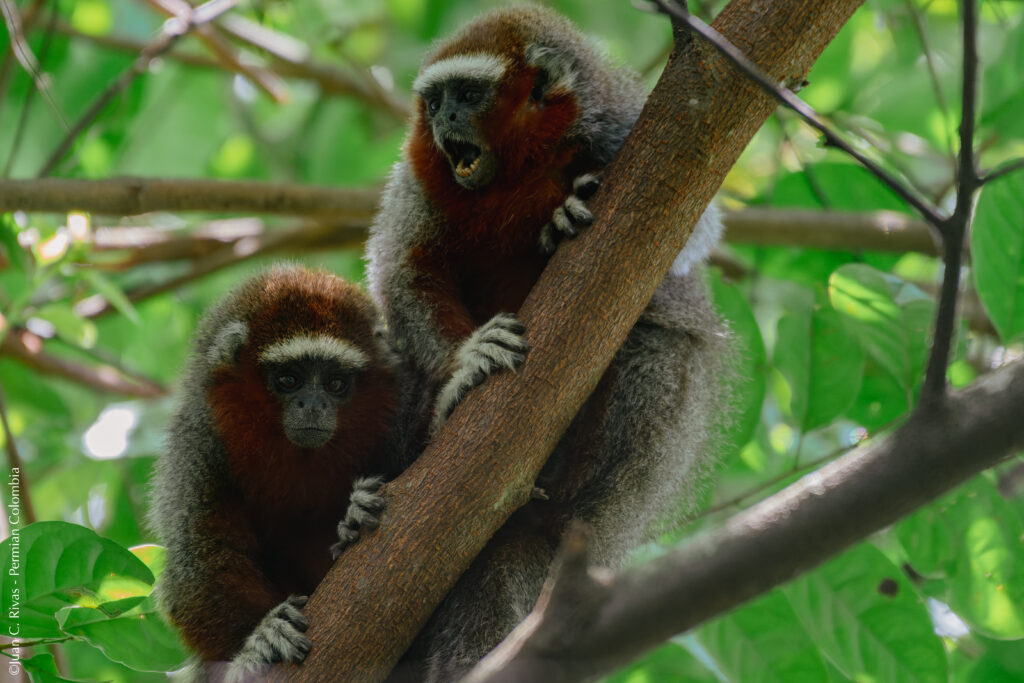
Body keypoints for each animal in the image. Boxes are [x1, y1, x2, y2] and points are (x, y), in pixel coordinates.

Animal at [149, 265, 415, 682]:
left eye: (335, 383)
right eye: (289, 379)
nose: (313, 405)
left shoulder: (395, 408)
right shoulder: (199, 441)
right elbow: (196, 566)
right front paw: (261, 638)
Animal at [365, 6, 732, 681]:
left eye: (468, 95)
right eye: (433, 102)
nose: (443, 122)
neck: (516, 175)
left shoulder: (620, 131)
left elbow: (691, 233)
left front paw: (560, 218)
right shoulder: (417, 184)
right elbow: (402, 269)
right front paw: (466, 365)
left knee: (658, 342)